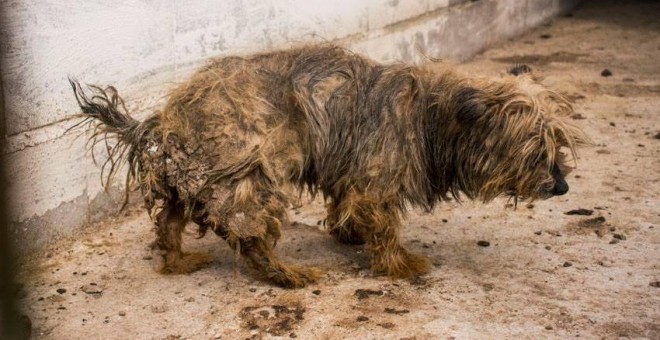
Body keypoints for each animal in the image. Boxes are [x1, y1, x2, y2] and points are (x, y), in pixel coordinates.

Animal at [69, 44, 592, 286]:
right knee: (249, 235)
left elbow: (347, 207)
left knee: (169, 223)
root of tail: (163, 119)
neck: (431, 115)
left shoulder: (351, 173)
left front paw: (348, 234)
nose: (563, 188)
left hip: (192, 180)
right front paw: (399, 265)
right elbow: (385, 227)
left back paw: (178, 261)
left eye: (558, 144)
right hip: (253, 177)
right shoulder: (376, 182)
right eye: (535, 149)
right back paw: (286, 275)